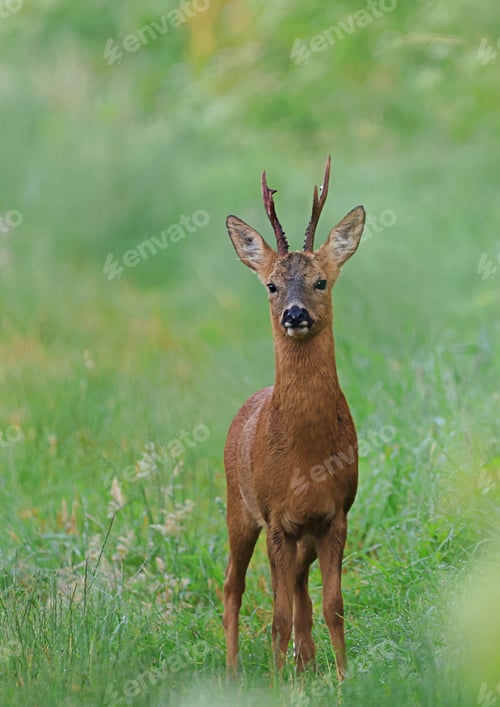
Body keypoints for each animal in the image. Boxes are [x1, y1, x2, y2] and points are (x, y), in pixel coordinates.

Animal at [223, 156, 365, 681]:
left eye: (321, 280)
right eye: (271, 284)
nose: (295, 313)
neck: (307, 458)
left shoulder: (336, 513)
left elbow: (333, 606)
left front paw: (344, 680)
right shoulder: (276, 518)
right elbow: (278, 617)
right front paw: (277, 684)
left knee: (301, 589)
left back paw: (306, 663)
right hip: (238, 506)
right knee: (232, 586)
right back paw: (235, 672)